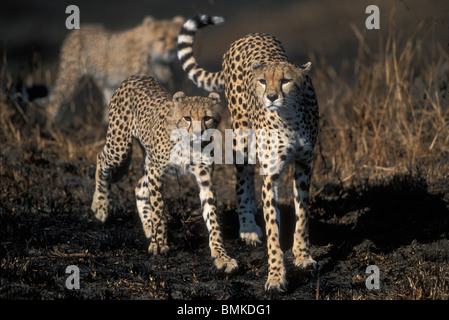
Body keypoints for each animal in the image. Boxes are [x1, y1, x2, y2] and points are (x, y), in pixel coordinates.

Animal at [42, 15, 182, 124]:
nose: (170, 51)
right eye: (161, 39)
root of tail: (77, 30)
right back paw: (52, 127)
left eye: (175, 39)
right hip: (72, 77)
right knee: (54, 99)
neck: (155, 58)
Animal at [90, 74, 238, 272]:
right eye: (187, 118)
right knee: (101, 159)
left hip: (145, 158)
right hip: (119, 146)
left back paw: (147, 227)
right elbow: (158, 208)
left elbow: (212, 219)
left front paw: (221, 256)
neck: (188, 145)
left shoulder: (205, 181)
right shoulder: (157, 172)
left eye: (207, 117)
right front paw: (159, 244)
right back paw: (101, 205)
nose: (199, 133)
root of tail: (137, 76)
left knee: (139, 187)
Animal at [176, 15, 318, 292]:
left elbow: (302, 213)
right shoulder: (272, 171)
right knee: (243, 179)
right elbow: (273, 228)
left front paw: (302, 254)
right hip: (241, 137)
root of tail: (247, 36)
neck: (289, 116)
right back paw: (249, 227)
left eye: (286, 80)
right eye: (262, 81)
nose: (271, 97)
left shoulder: (305, 164)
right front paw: (276, 275)